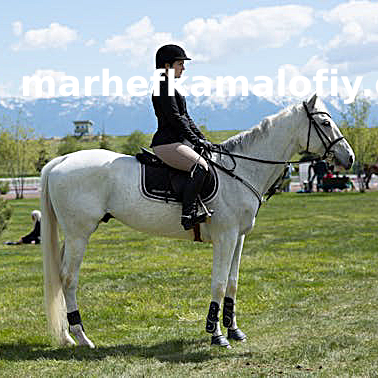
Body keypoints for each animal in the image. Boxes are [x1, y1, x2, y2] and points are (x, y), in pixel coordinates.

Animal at [40, 94, 354, 348]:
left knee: (60, 278)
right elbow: (218, 283)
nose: (349, 158)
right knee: (69, 279)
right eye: (325, 123)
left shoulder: (238, 237)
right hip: (80, 234)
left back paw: (67, 336)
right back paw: (82, 337)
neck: (241, 170)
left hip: (72, 235)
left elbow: (232, 283)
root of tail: (61, 160)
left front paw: (234, 331)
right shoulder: (225, 236)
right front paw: (216, 335)